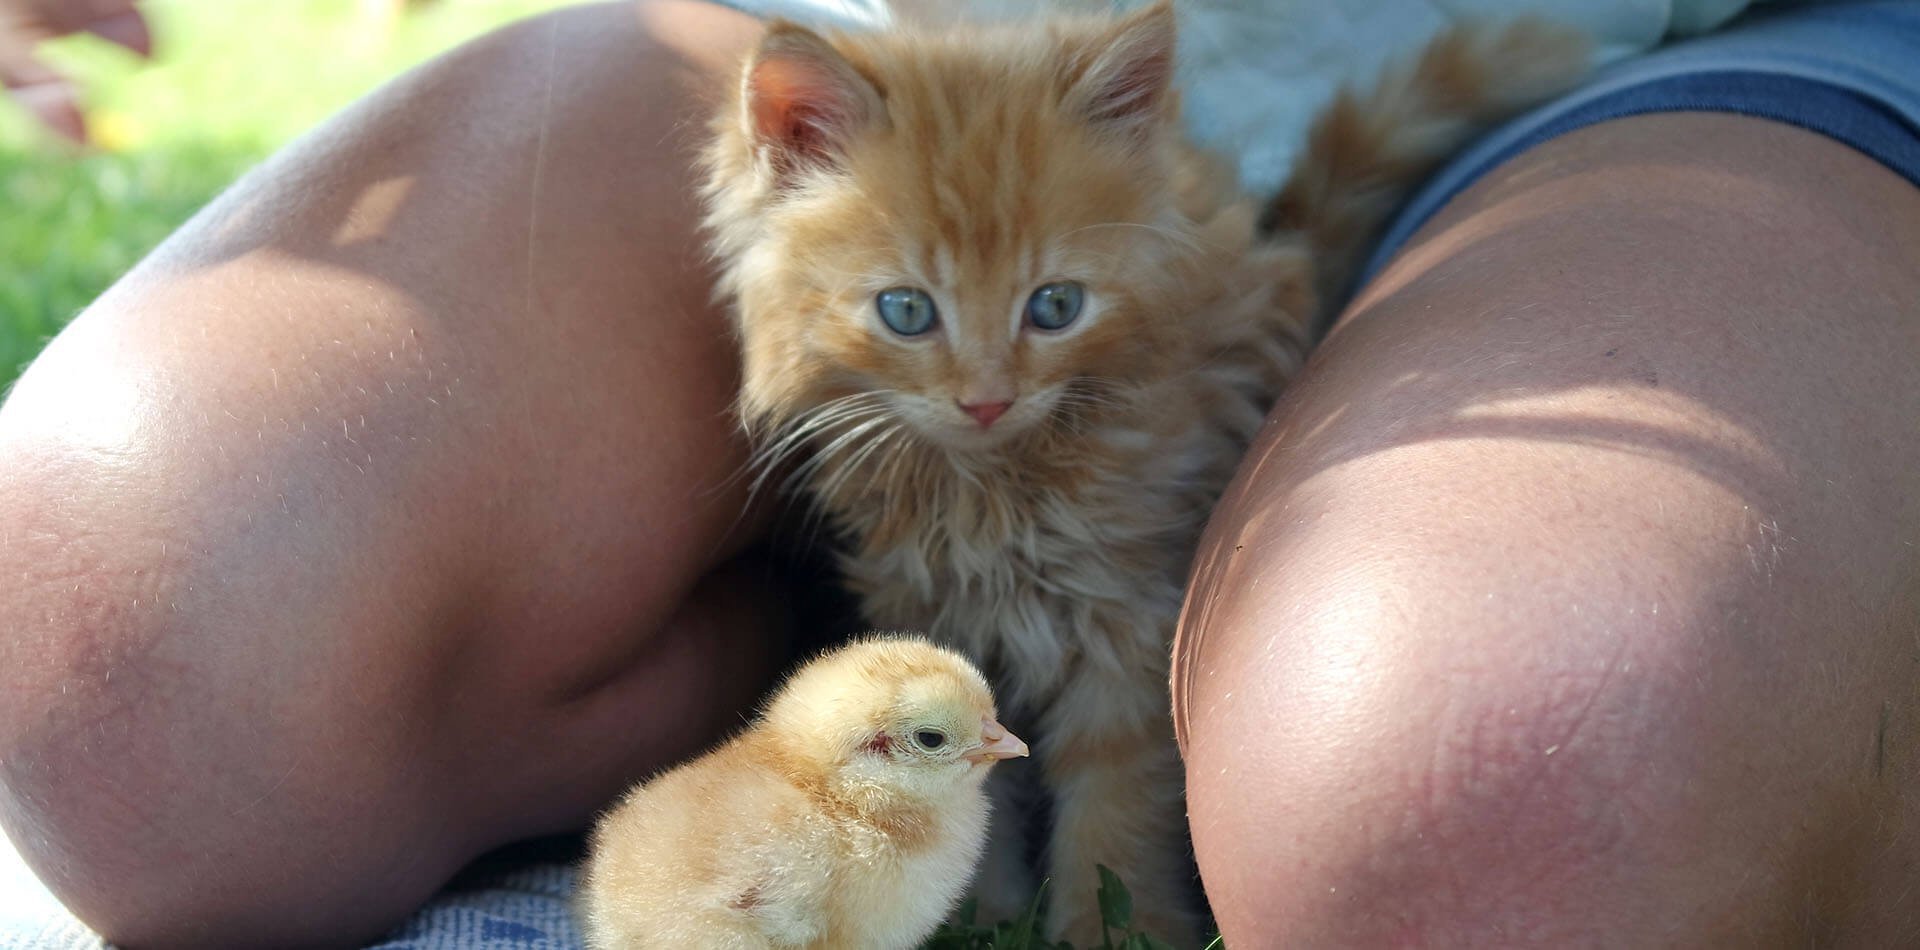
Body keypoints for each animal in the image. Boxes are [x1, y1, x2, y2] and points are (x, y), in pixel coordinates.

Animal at [698, 3, 1582, 940]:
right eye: (906, 312)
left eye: (1055, 306)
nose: (988, 400)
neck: (1000, 492)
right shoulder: (938, 603)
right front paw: (977, 912)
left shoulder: (1128, 615)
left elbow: (1114, 804)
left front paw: (1107, 929)